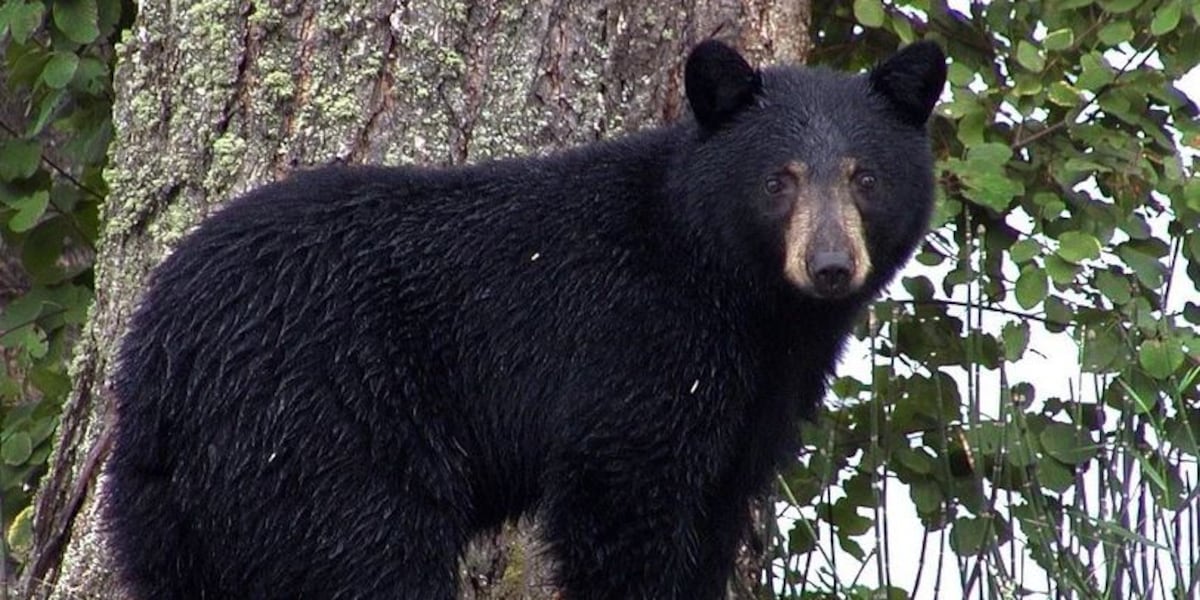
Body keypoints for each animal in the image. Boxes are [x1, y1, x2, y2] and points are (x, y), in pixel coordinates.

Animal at [103, 39, 946, 599]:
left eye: (865, 177)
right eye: (779, 180)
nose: (831, 266)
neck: (740, 296)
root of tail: (157, 356)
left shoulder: (756, 401)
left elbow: (715, 508)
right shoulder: (637, 343)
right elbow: (621, 502)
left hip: (175, 504)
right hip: (319, 428)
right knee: (365, 555)